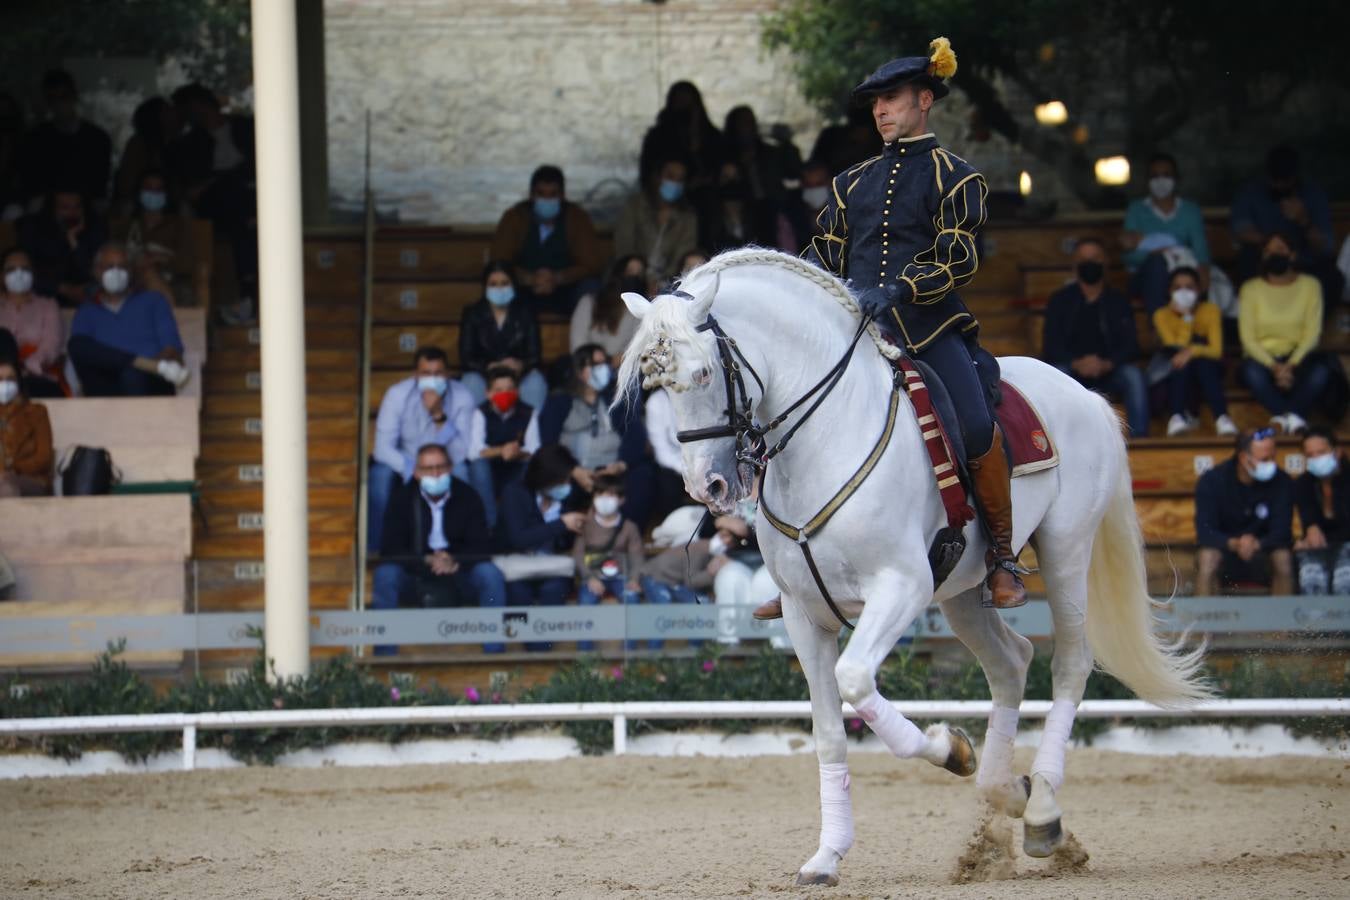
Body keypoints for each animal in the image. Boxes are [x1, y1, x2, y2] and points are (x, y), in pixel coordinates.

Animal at [618, 249, 1209, 890]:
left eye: (704, 374)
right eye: (657, 384)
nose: (708, 487)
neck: (827, 436)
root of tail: (1084, 394)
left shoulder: (899, 588)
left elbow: (856, 681)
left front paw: (950, 750)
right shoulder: (803, 614)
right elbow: (828, 731)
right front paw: (827, 855)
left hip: (1066, 550)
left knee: (1070, 664)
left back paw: (1042, 811)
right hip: (963, 593)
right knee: (1011, 663)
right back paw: (1007, 791)